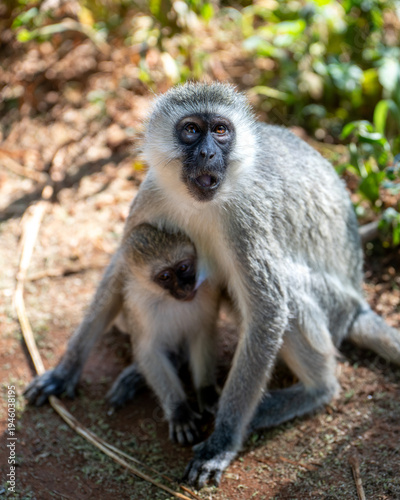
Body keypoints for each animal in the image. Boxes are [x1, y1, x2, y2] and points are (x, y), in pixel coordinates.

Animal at [25, 223, 221, 446]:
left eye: (183, 268)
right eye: (165, 277)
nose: (186, 287)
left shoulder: (208, 293)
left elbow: (202, 335)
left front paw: (206, 392)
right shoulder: (140, 306)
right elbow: (148, 350)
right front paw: (179, 411)